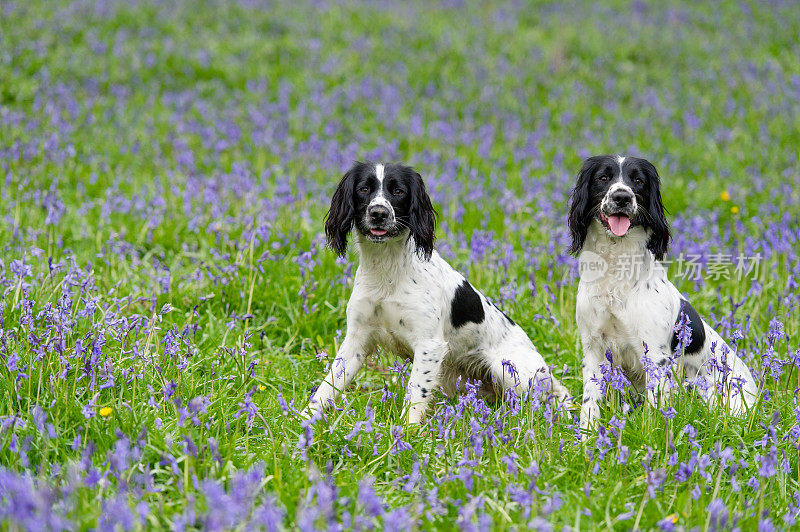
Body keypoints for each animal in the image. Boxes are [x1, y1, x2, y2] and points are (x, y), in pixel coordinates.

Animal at [304, 160, 572, 422]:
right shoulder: (357, 339)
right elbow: (327, 386)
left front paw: (407, 431)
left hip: (509, 369)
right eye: (364, 189)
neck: (387, 273)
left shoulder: (428, 344)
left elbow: (416, 393)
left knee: (556, 393)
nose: (379, 213)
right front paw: (305, 419)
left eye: (398, 191)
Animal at [568, 154, 756, 436]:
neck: (617, 271)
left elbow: (655, 406)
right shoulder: (593, 346)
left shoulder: (655, 355)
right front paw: (586, 438)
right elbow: (590, 400)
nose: (622, 197)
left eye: (638, 180)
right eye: (603, 177)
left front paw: (652, 436)